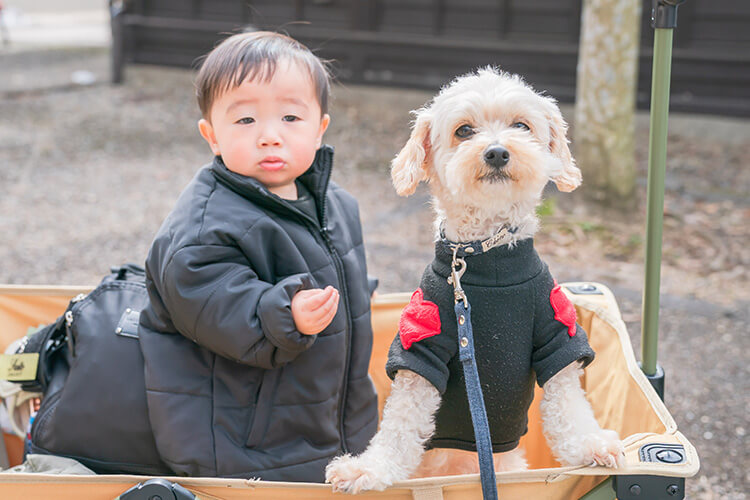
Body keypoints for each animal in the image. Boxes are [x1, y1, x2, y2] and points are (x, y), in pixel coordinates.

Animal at [328, 68, 628, 494]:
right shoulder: (423, 340)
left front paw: (591, 445)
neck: (487, 258)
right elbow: (401, 423)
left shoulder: (557, 328)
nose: (497, 152)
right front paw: (368, 469)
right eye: (464, 130)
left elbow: (568, 402)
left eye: (521, 126)